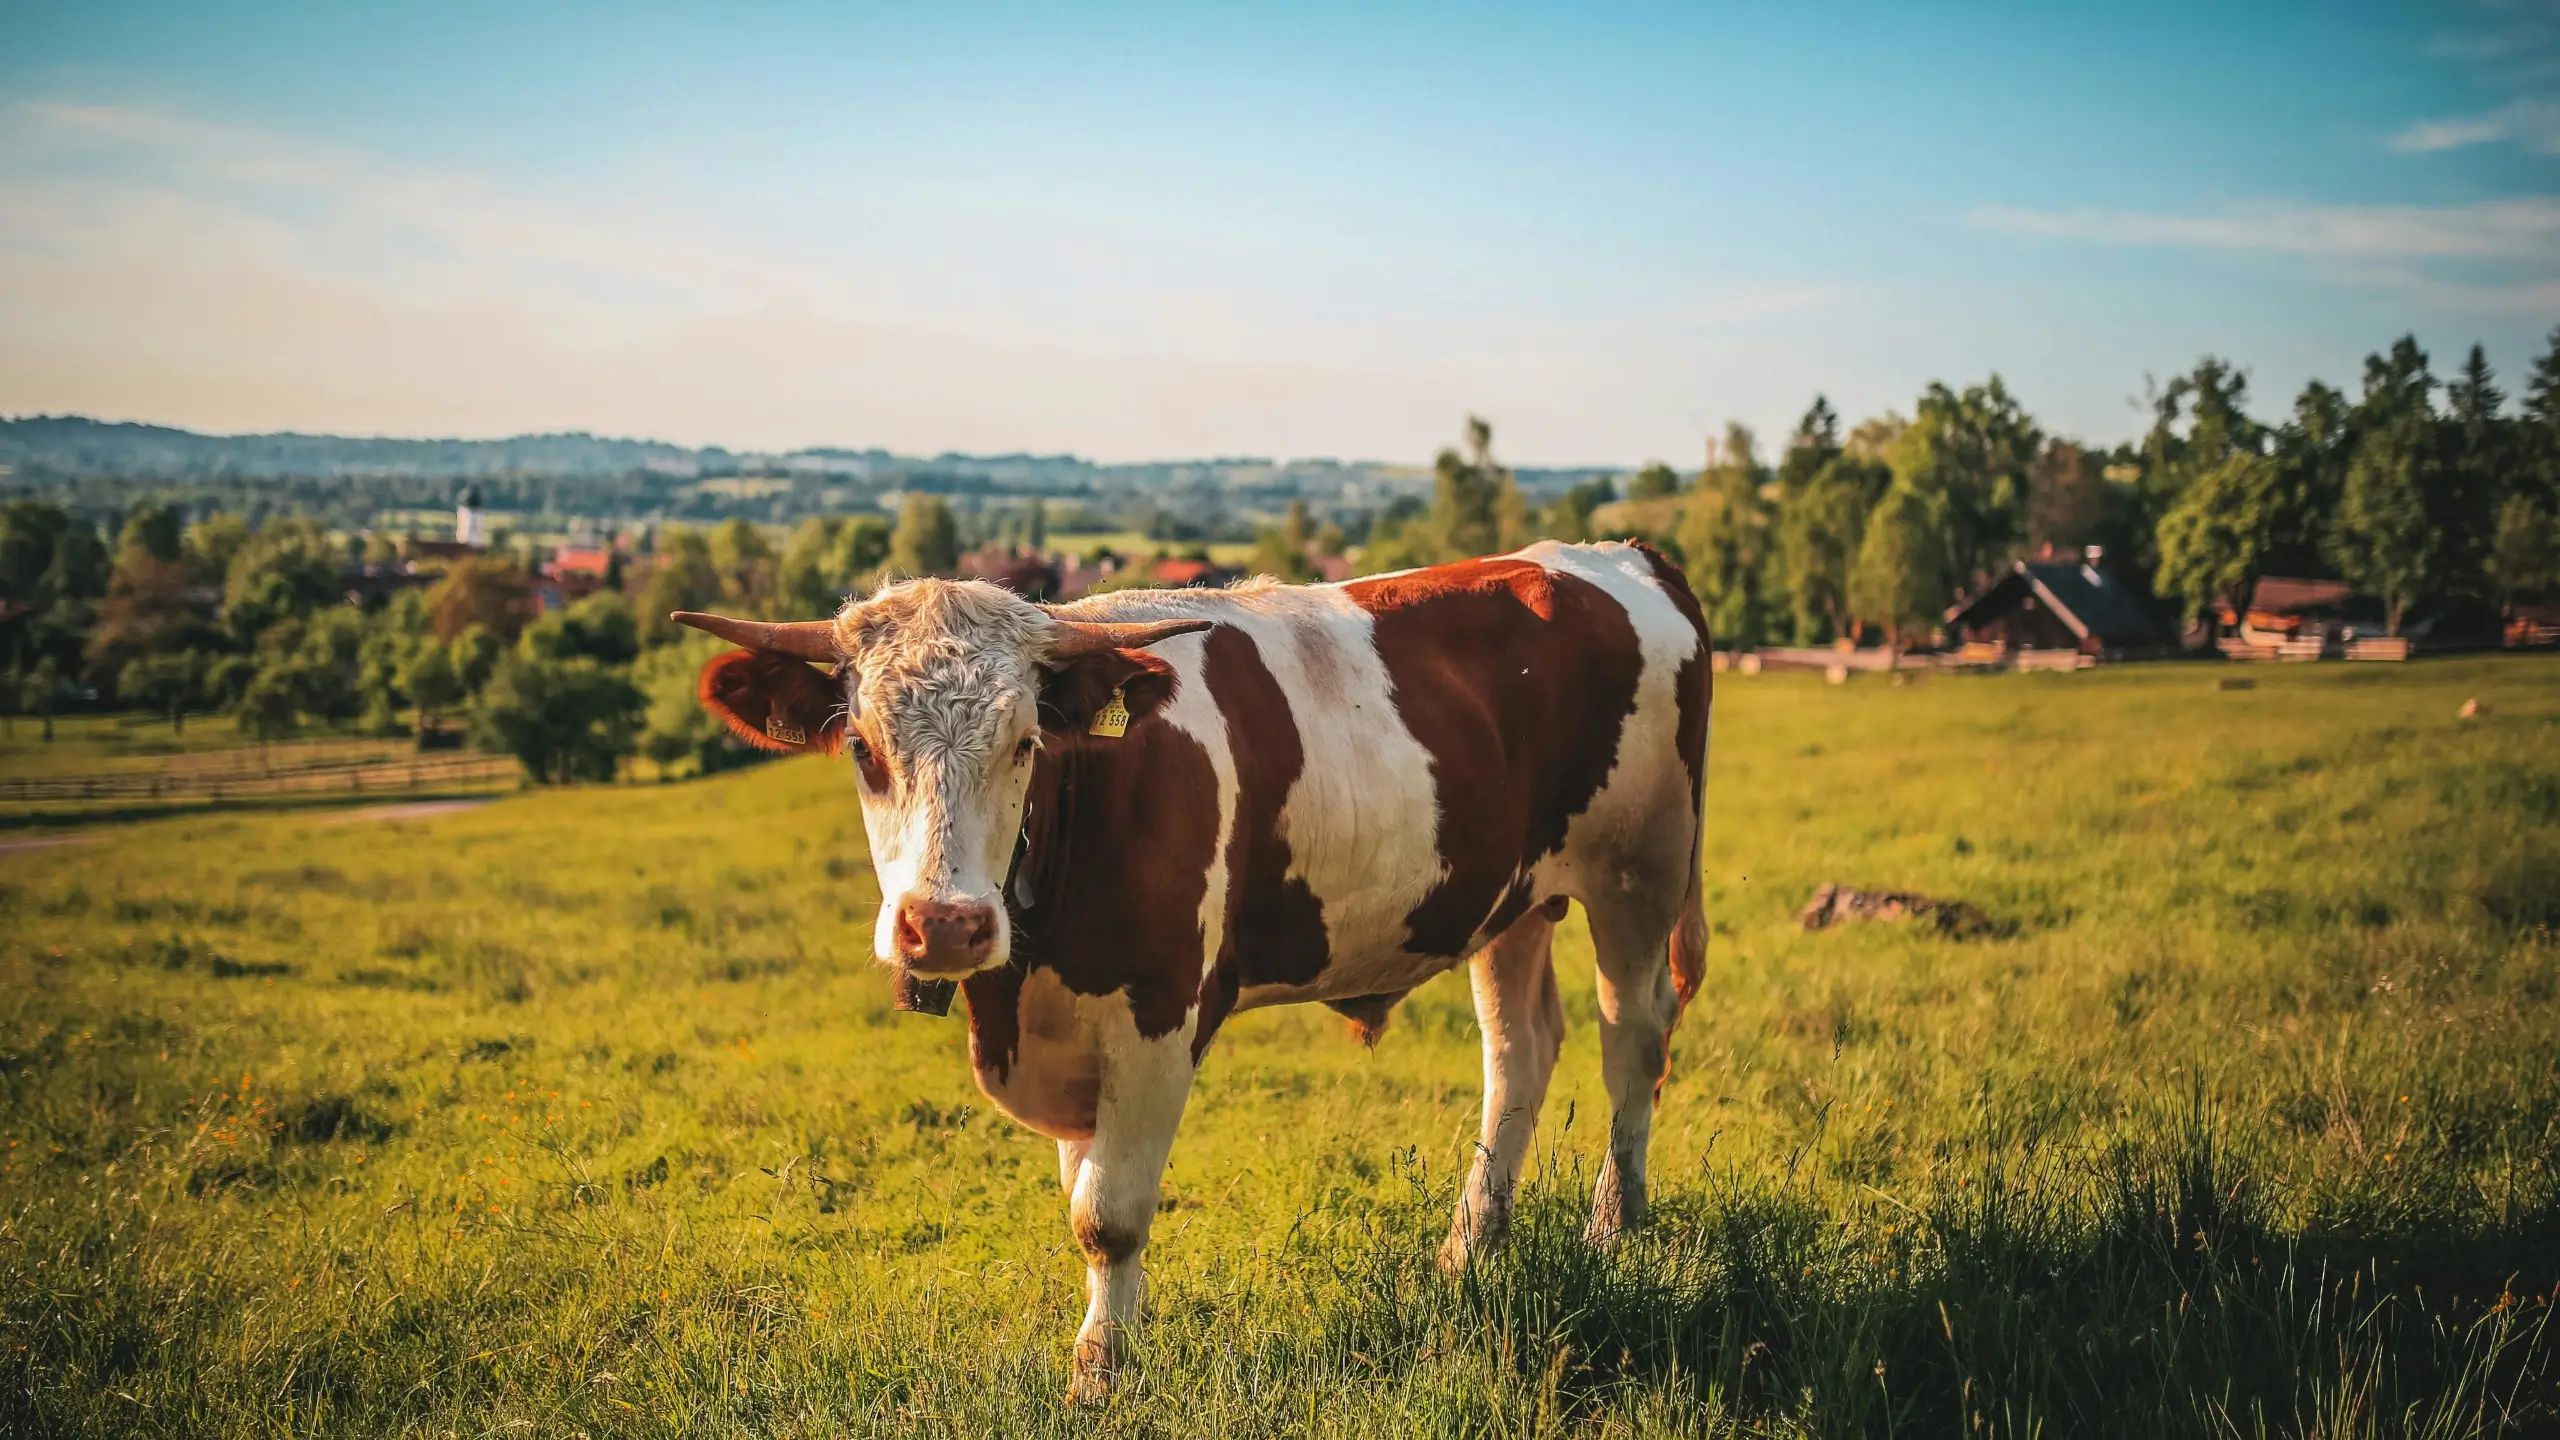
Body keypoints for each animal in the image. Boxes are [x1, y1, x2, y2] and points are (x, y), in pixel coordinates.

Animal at [680, 535, 1720, 1393]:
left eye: (1025, 743)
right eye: (863, 748)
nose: (945, 925)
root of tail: (1619, 554)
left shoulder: (1159, 1014)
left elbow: (1108, 1214)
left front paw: (1102, 1372)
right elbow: (1084, 1192)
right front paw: (1112, 1339)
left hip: (1641, 869)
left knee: (1633, 1040)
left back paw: (1615, 1227)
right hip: (1512, 899)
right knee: (1520, 1053)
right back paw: (1470, 1249)